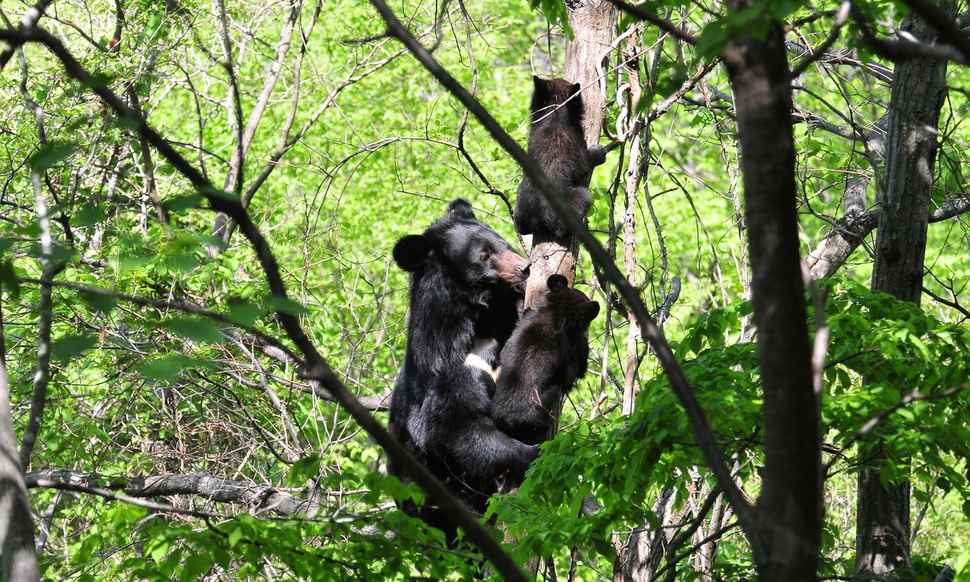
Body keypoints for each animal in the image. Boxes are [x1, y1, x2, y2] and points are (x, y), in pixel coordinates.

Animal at [388, 197, 536, 528]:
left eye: (502, 242)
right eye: (484, 256)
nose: (525, 268)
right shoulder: (447, 369)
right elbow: (460, 427)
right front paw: (531, 453)